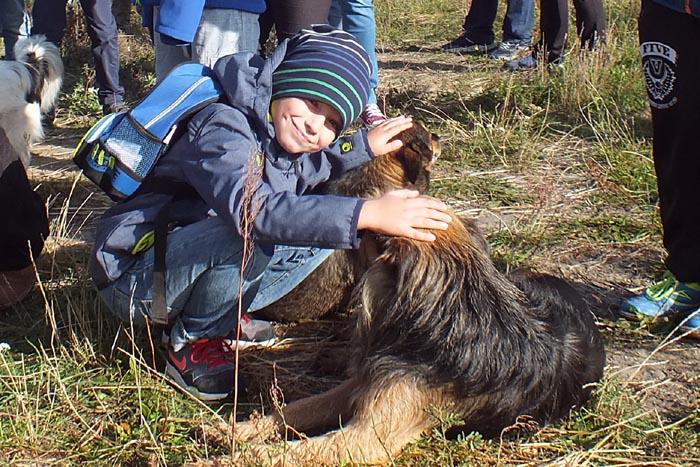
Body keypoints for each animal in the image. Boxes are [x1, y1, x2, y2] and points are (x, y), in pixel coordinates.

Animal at [205, 122, 604, 466]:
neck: (447, 312)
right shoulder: (364, 385)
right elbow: (295, 408)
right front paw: (238, 430)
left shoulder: (367, 435)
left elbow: (298, 450)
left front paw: (237, 456)